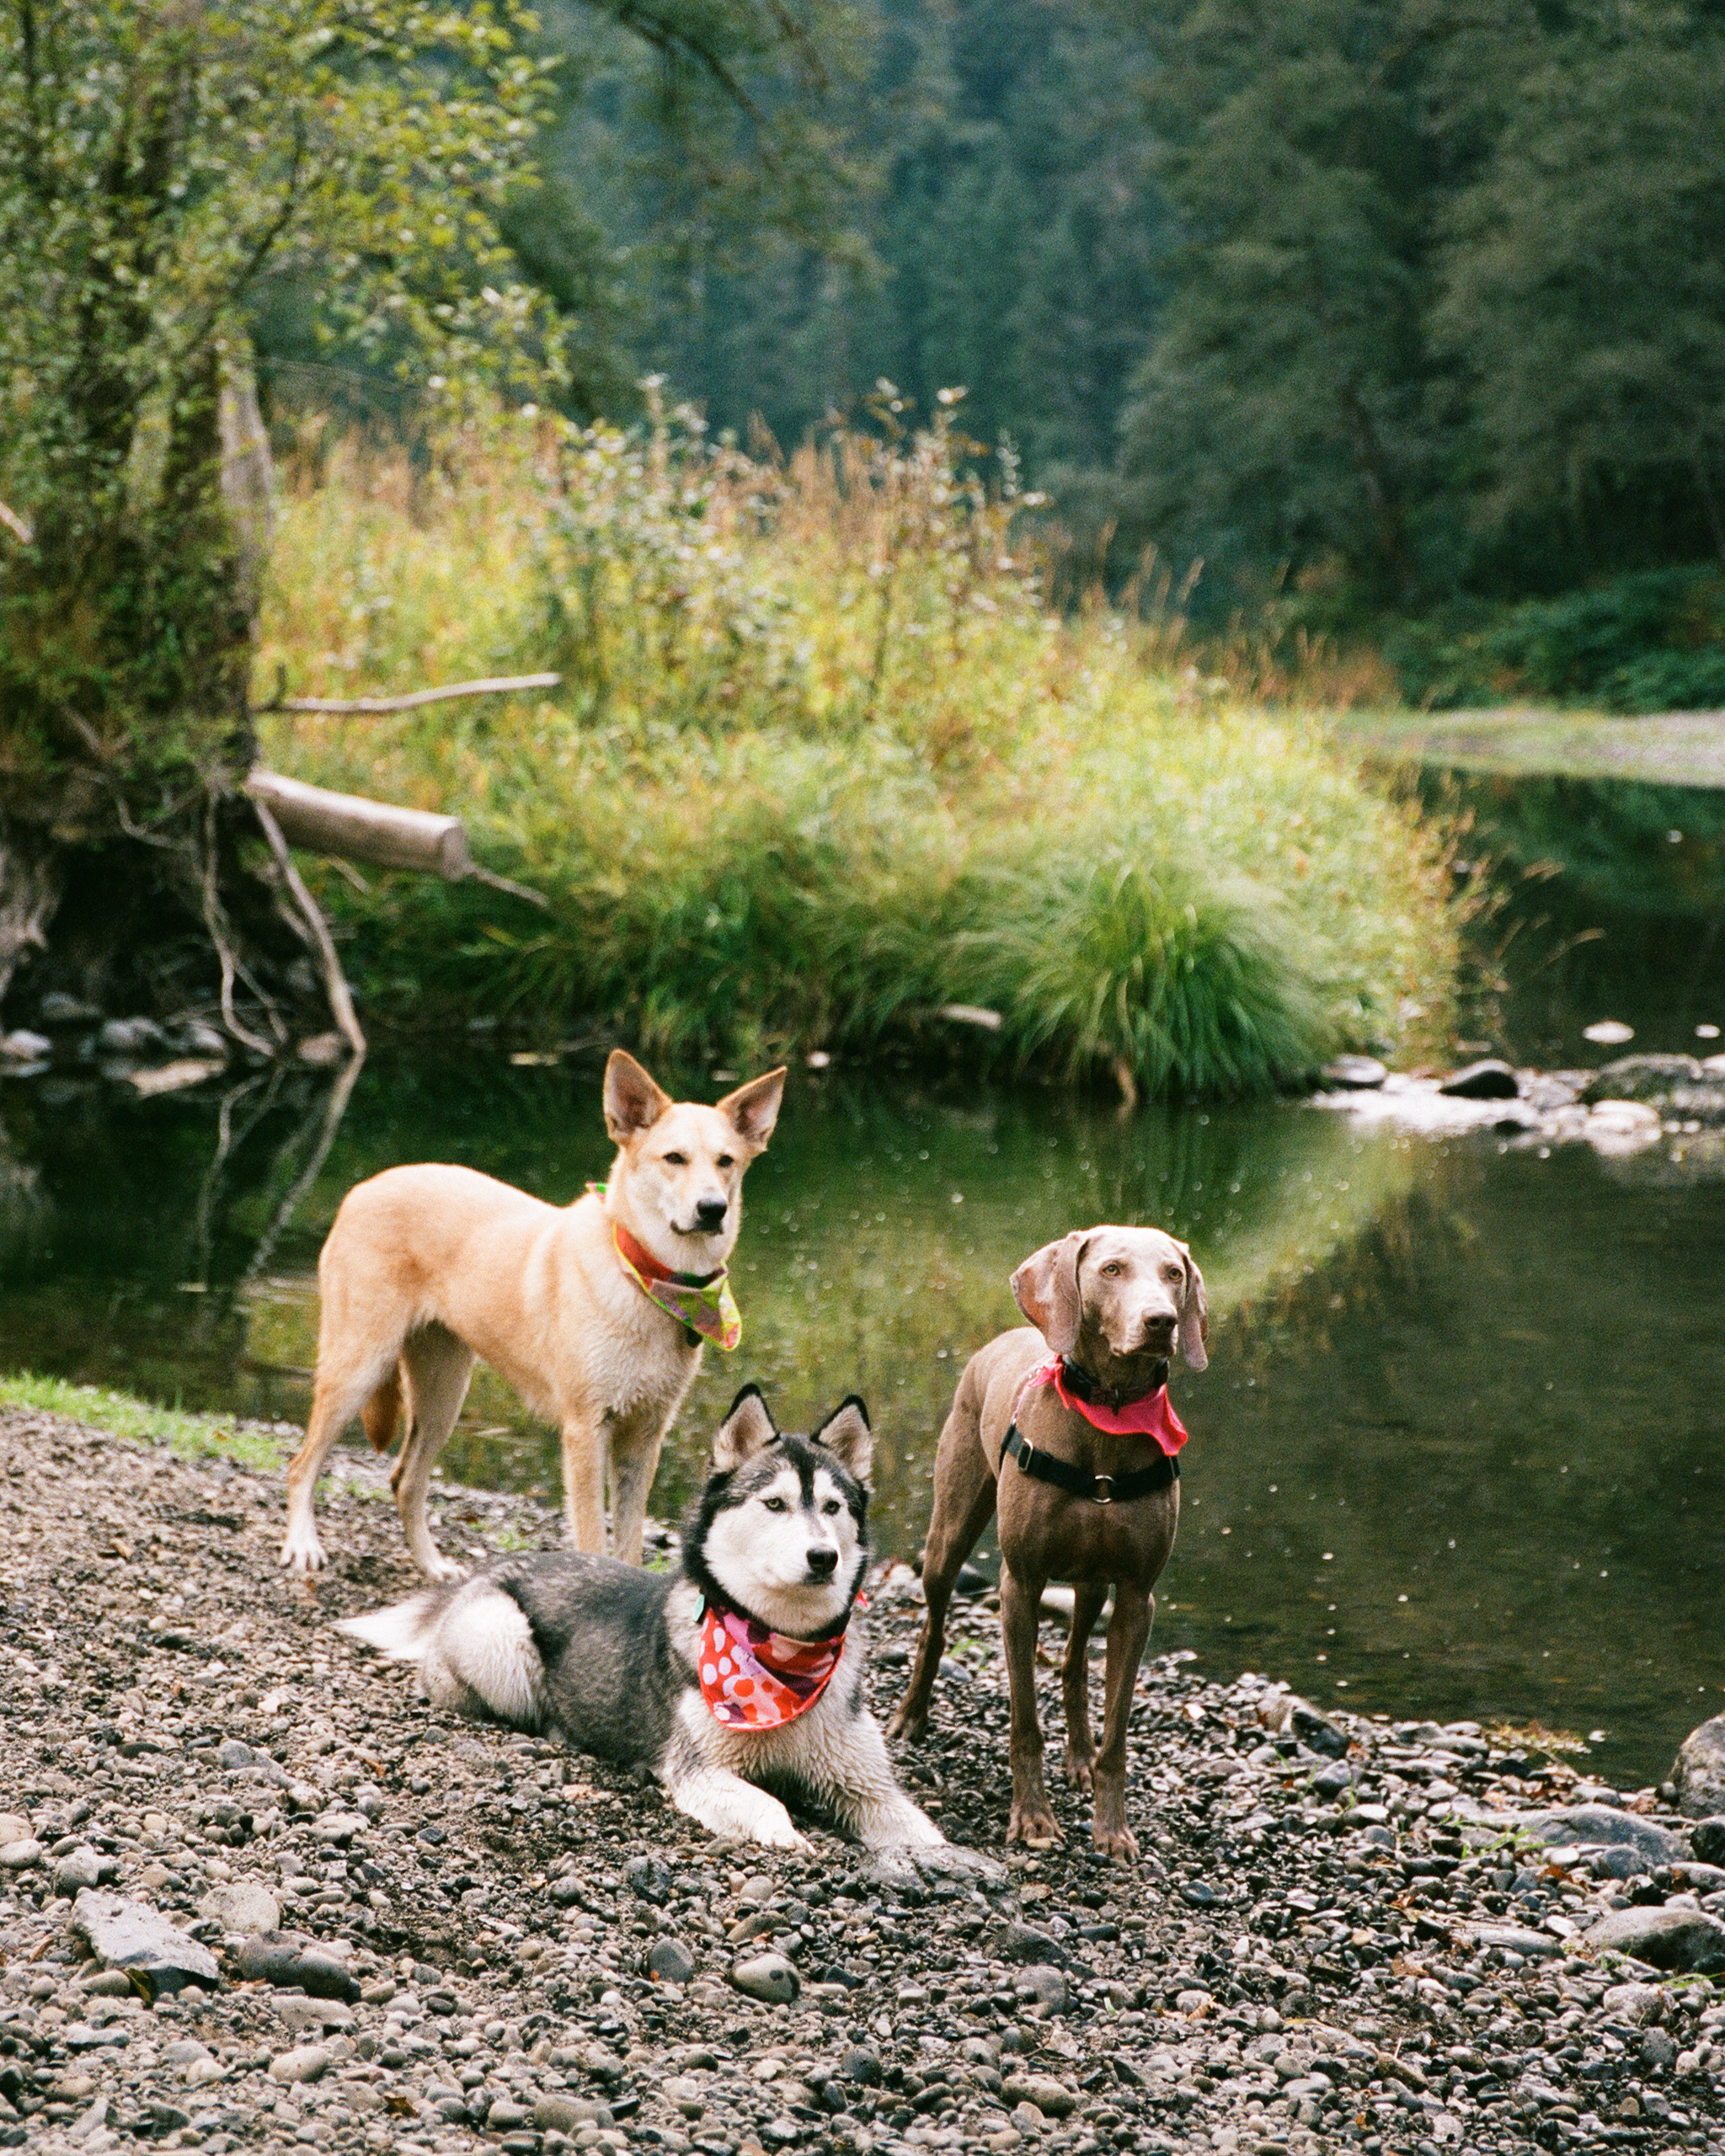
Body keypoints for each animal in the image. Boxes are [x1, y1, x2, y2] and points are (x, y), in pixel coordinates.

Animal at [284, 1048, 788, 1577]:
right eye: (674, 1158)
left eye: (726, 1161)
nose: (712, 1208)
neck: (651, 1277)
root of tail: (364, 1187)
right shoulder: (586, 1431)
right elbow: (593, 1537)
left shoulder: (645, 1436)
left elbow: (630, 1542)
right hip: (358, 1368)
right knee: (302, 1465)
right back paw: (302, 1545)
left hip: (443, 1395)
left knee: (405, 1481)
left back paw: (432, 1566)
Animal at [336, 1388, 970, 1862]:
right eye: (774, 1504)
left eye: (834, 1507)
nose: (823, 1558)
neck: (782, 1649)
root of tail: (496, 1565)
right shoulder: (699, 1768)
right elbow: (767, 1803)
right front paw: (785, 1833)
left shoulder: (865, 1784)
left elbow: (923, 1829)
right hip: (502, 1641)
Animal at [896, 1233, 1207, 1854]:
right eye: (1111, 1270)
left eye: (1174, 1274)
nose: (1160, 1321)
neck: (1108, 1414)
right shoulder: (1020, 1585)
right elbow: (1024, 1723)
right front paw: (1033, 1819)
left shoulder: (1136, 1596)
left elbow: (1117, 1734)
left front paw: (1112, 1828)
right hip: (949, 1529)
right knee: (934, 1624)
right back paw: (912, 1715)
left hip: (1092, 1582)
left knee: (1073, 1659)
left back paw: (1080, 1753)